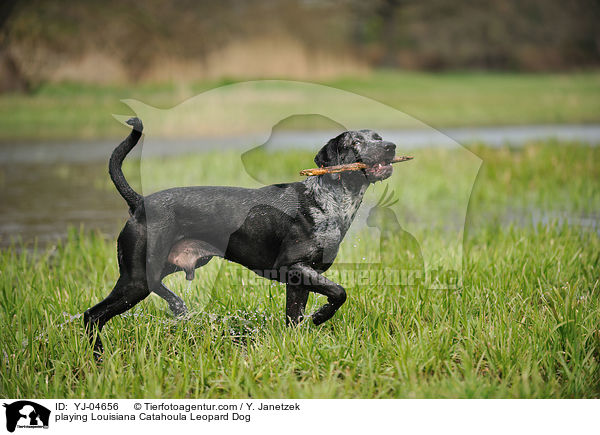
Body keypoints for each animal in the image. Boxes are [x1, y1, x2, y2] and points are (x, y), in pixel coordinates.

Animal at [83, 118, 394, 358]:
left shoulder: (300, 280)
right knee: (92, 316)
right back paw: (98, 357)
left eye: (378, 138)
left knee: (155, 289)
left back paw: (177, 306)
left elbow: (294, 318)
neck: (328, 200)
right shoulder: (289, 267)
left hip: (160, 269)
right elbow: (339, 292)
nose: (391, 147)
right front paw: (320, 316)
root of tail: (139, 202)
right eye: (355, 143)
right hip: (135, 280)